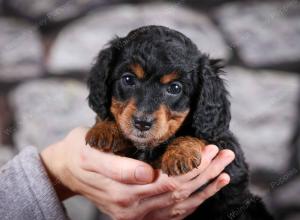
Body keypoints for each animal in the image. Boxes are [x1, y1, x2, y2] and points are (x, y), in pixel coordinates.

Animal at [85, 24, 274, 219]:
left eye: (175, 88)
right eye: (128, 79)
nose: (142, 123)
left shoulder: (224, 147)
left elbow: (200, 136)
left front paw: (181, 153)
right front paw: (105, 129)